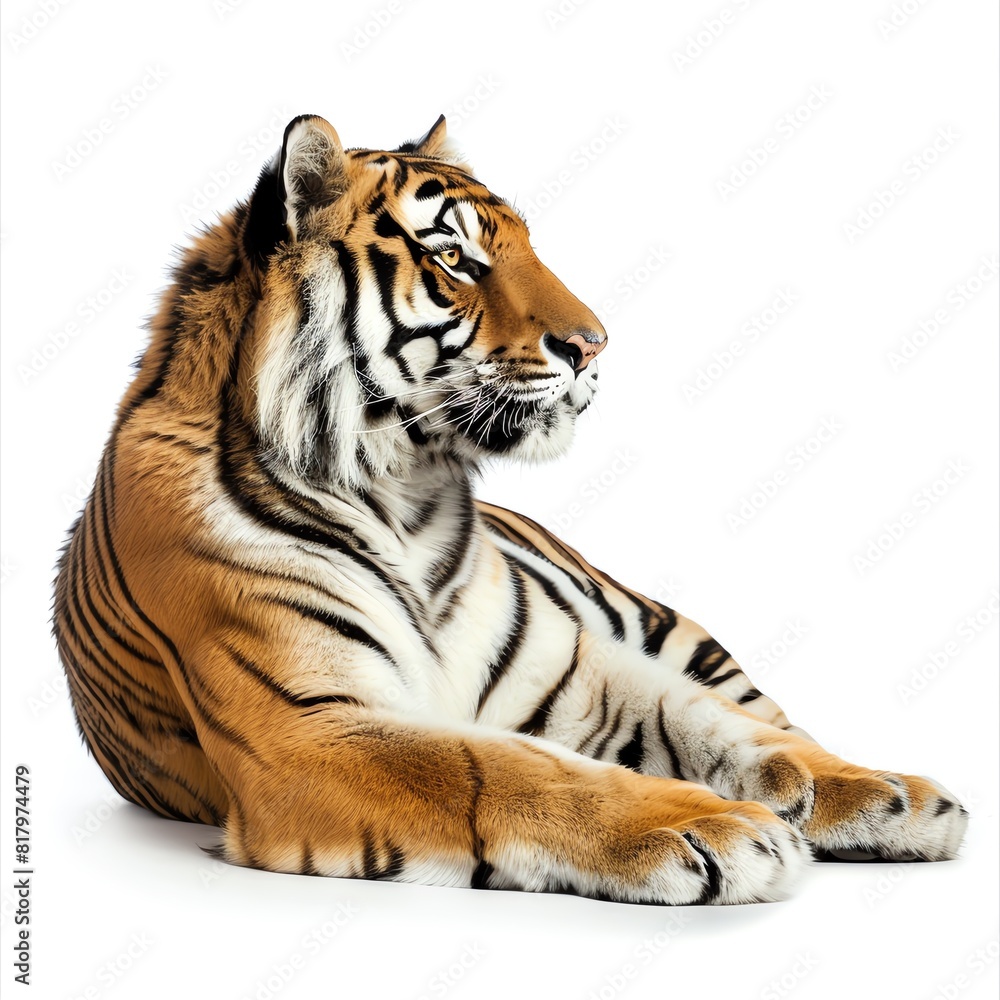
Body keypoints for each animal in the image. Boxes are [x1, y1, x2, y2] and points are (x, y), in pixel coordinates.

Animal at [52, 113, 968, 905]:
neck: (406, 492)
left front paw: (866, 789)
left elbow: (703, 719)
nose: (594, 345)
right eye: (455, 258)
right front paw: (715, 826)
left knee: (763, 711)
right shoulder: (309, 729)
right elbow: (503, 769)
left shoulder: (577, 673)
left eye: (527, 245)